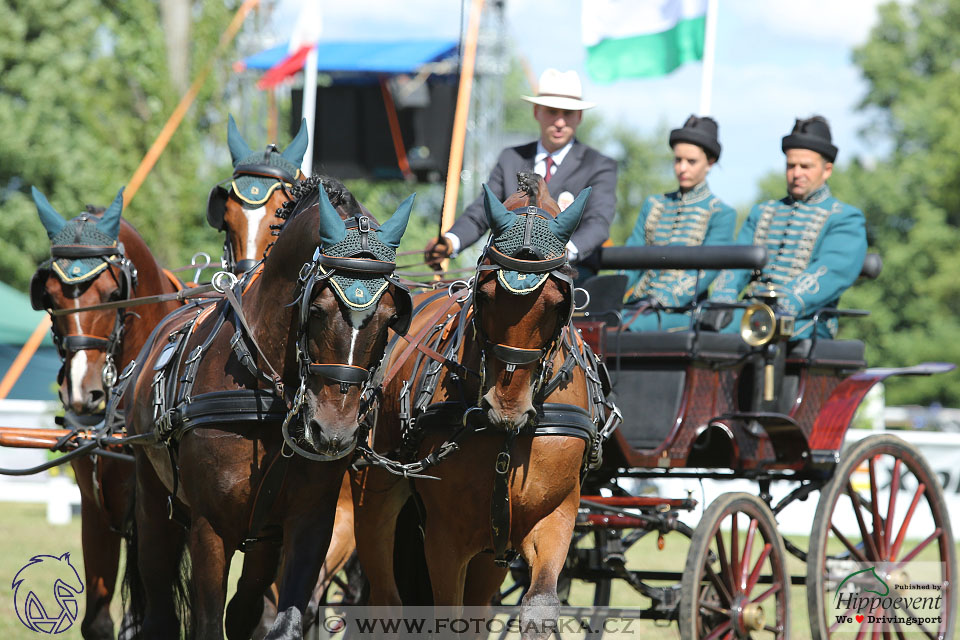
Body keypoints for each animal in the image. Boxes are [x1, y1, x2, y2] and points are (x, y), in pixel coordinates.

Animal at [121, 175, 416, 640]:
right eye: (318, 309)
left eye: (389, 318)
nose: (334, 432)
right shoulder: (210, 528)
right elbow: (209, 624)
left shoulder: (310, 522)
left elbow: (280, 620)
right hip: (153, 504)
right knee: (160, 609)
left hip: (262, 540)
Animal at [348, 172, 612, 636]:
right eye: (485, 295)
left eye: (558, 302)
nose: (506, 406)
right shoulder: (444, 537)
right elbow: (446, 618)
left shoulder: (555, 517)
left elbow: (539, 607)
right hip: (375, 498)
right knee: (387, 601)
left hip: (493, 549)